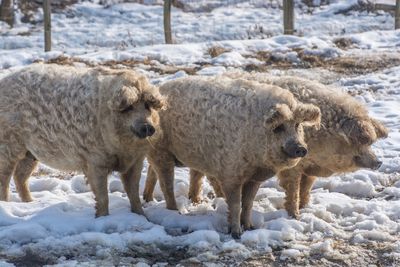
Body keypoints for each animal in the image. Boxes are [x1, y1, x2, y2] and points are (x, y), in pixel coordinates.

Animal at [0, 64, 164, 218]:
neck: (123, 149)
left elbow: (134, 192)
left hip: (31, 152)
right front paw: (102, 218)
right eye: (129, 107)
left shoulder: (136, 161)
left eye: (148, 105)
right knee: (5, 177)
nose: (148, 127)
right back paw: (7, 205)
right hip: (8, 143)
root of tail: (4, 81)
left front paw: (142, 216)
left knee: (20, 176)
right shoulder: (95, 160)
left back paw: (31, 203)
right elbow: (102, 195)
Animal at [143, 76, 318, 239]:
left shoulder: (254, 178)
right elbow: (235, 204)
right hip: (161, 150)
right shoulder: (231, 173)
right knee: (166, 185)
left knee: (152, 172)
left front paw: (250, 227)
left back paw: (148, 199)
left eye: (297, 125)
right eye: (279, 127)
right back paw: (175, 212)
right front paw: (236, 233)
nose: (301, 148)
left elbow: (248, 203)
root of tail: (159, 89)